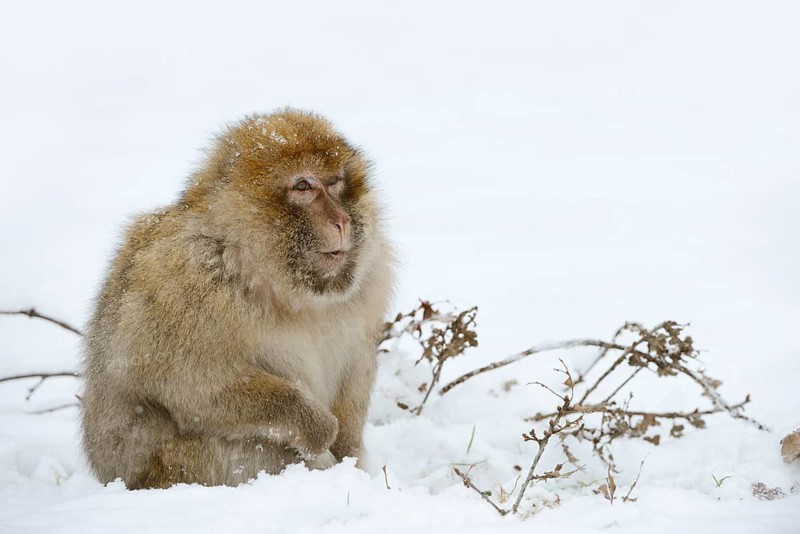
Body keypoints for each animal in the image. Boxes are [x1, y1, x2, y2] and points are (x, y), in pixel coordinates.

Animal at [80, 109, 394, 489]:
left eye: (334, 182)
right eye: (303, 186)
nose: (342, 221)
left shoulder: (371, 281)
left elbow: (356, 368)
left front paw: (347, 448)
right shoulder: (184, 282)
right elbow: (189, 383)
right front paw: (316, 428)